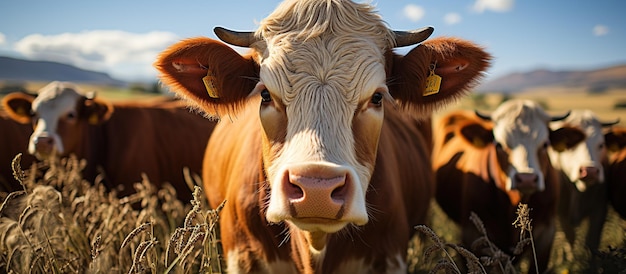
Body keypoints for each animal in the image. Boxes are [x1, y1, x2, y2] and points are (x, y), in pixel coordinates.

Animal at [544, 109, 616, 253]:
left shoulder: (599, 210)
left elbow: (591, 242)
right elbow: (570, 238)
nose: (590, 171)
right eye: (570, 145)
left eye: (601, 145)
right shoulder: (561, 214)